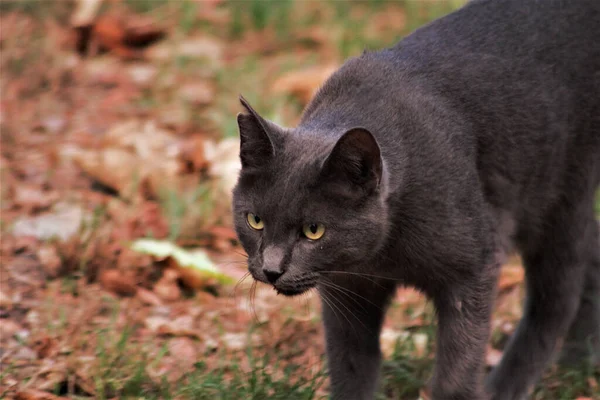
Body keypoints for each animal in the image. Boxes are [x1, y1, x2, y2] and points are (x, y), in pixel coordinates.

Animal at [232, 0, 600, 398]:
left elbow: (456, 374)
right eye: (255, 221)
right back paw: (581, 362)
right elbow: (350, 367)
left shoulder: (474, 269)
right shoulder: (347, 288)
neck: (381, 256)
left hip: (559, 196)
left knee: (556, 299)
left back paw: (511, 384)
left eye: (314, 230)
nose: (271, 269)